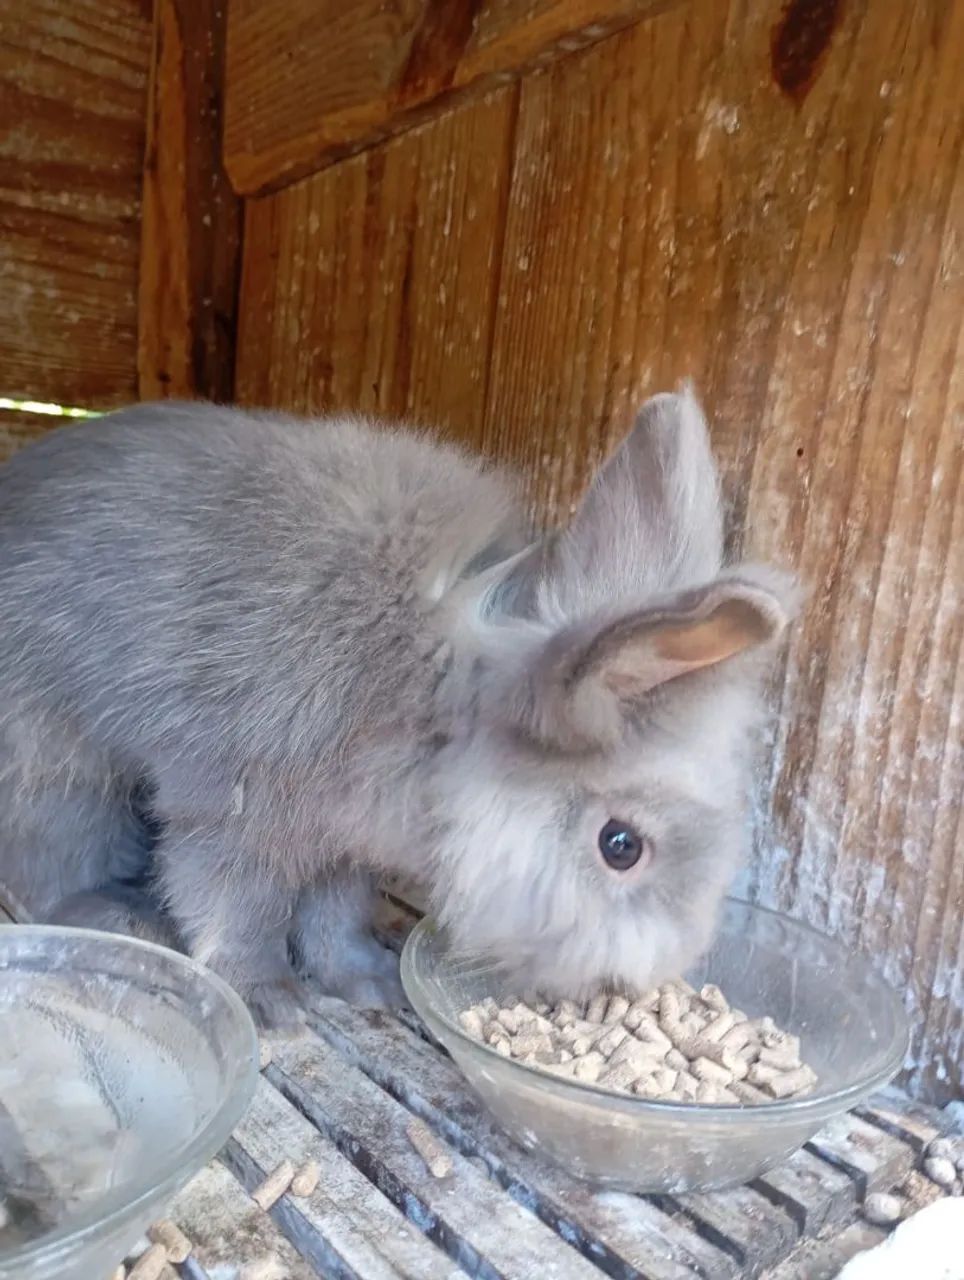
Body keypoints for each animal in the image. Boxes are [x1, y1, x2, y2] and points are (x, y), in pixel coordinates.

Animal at [0, 388, 797, 1027]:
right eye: (621, 845)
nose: (636, 983)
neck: (432, 684)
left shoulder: (345, 839)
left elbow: (335, 913)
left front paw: (369, 984)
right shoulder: (235, 807)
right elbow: (240, 906)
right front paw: (272, 1001)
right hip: (60, 775)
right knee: (47, 872)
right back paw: (117, 917)